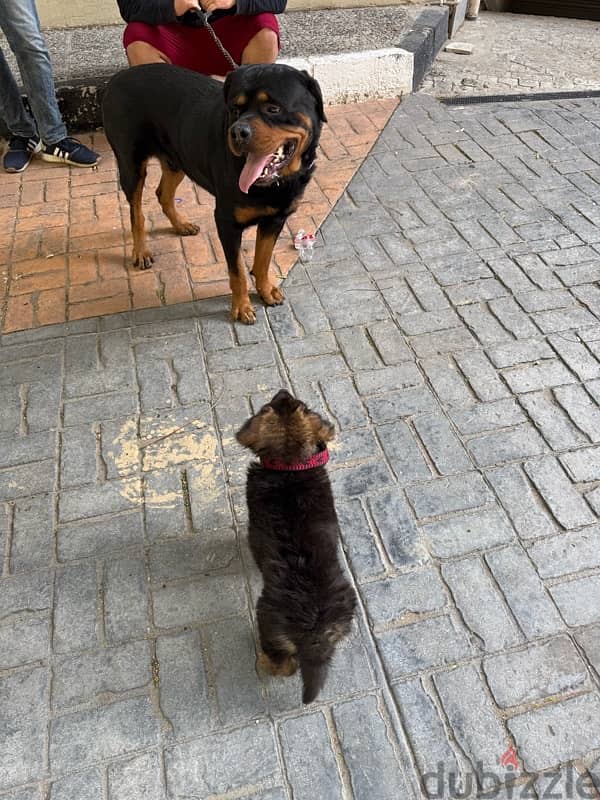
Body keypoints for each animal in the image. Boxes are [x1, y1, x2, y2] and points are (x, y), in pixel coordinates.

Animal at [103, 62, 328, 324]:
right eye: (235, 110)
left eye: (273, 108)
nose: (238, 132)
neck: (275, 184)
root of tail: (115, 79)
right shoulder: (227, 222)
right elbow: (237, 271)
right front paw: (241, 306)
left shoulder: (276, 219)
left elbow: (263, 259)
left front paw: (265, 289)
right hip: (131, 165)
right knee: (136, 212)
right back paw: (140, 251)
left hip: (178, 159)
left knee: (162, 193)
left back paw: (181, 224)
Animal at [236, 390, 356, 704]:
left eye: (267, 406)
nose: (282, 391)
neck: (289, 466)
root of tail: (314, 630)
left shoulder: (253, 529)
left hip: (269, 624)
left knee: (285, 665)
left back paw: (263, 662)